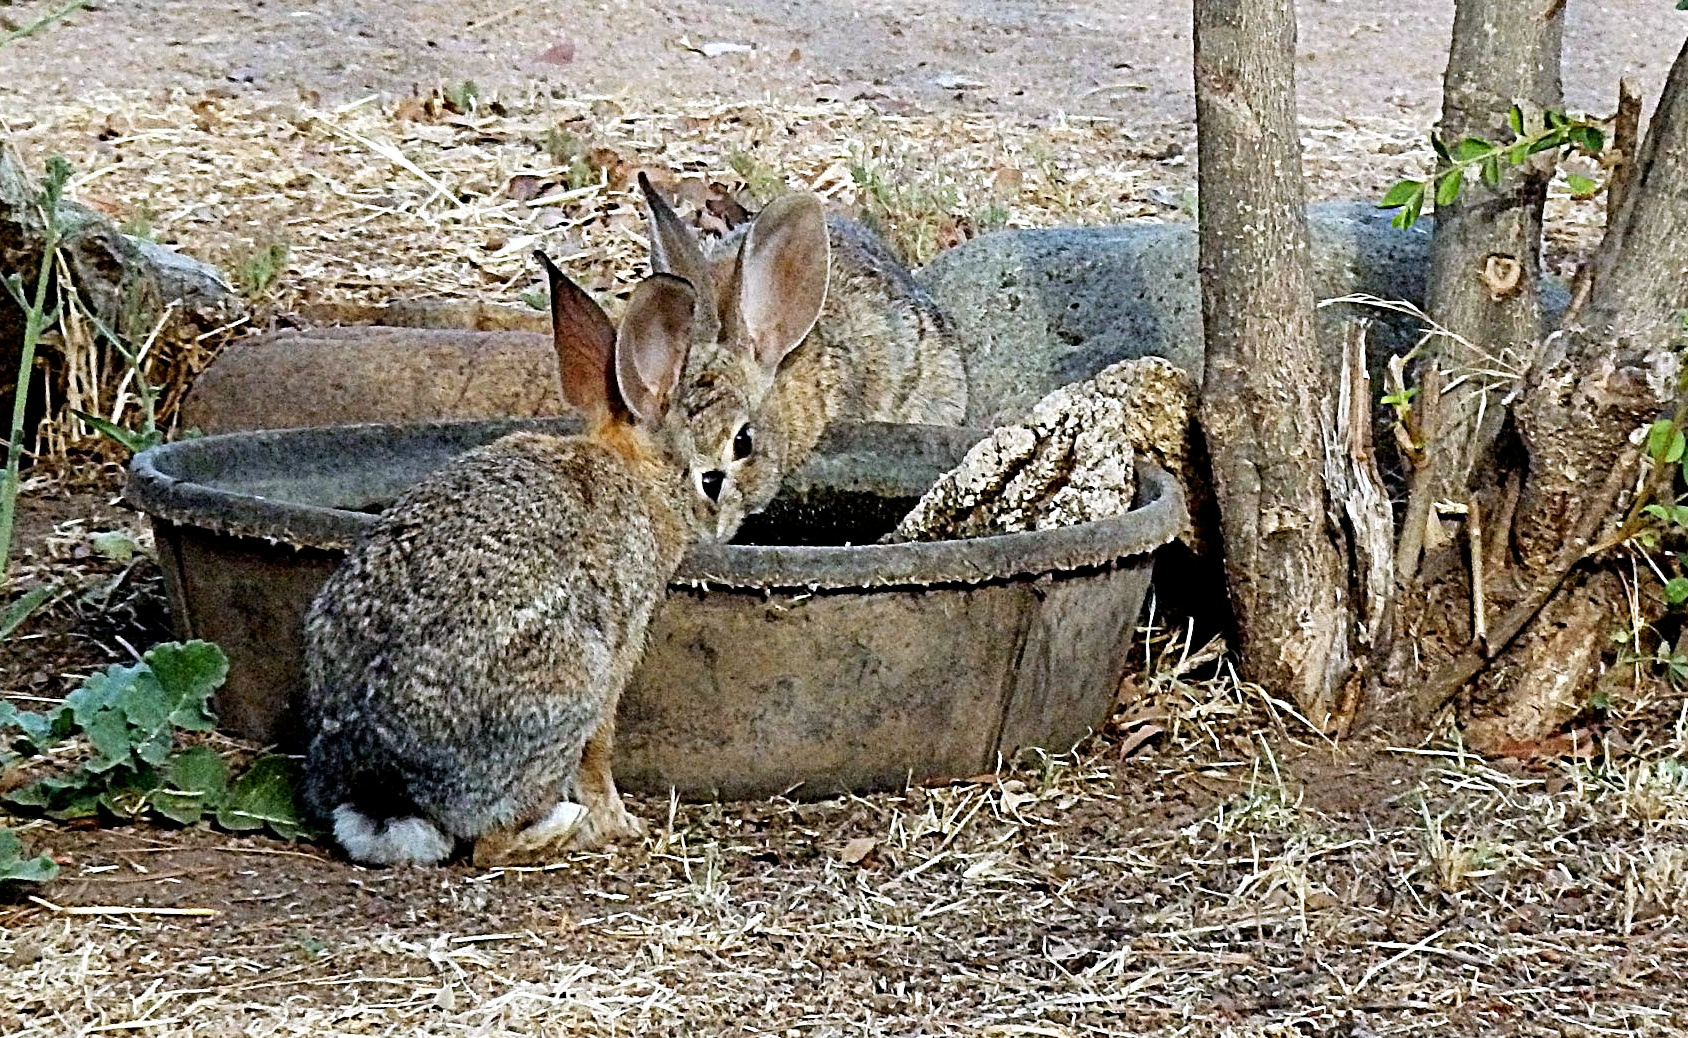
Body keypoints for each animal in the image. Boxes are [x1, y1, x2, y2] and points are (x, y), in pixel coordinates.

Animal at [303, 231, 830, 864]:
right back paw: (565, 825)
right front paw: (620, 822)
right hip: (566, 687)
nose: (733, 518)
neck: (638, 474)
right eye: (732, 454)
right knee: (490, 845)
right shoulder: (617, 654)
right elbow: (599, 752)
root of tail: (385, 793)